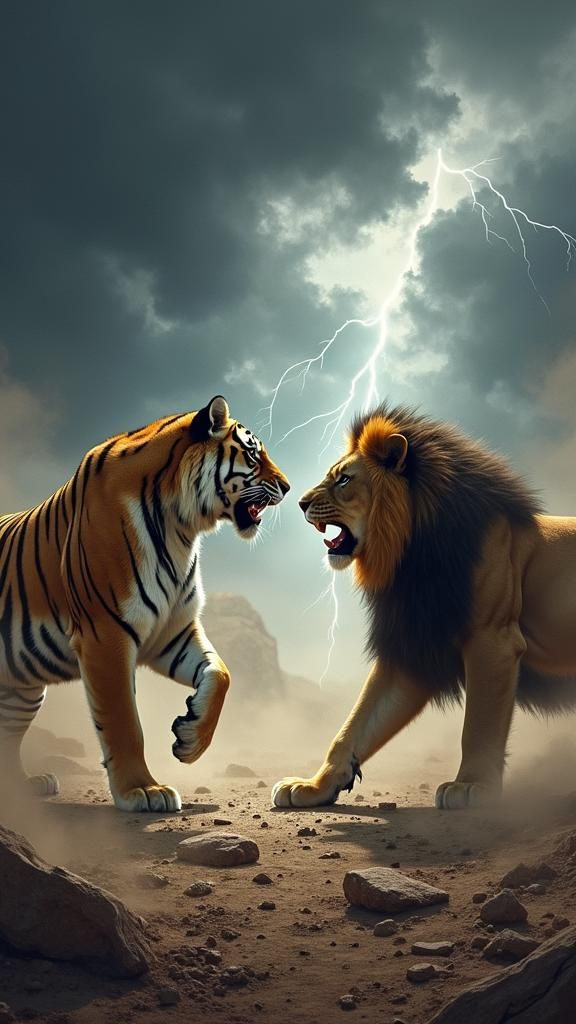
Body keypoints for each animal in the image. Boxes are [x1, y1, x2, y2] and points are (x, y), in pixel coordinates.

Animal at [0, 396, 290, 812]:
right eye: (252, 454)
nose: (288, 486)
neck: (181, 528)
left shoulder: (173, 630)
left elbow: (221, 674)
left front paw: (189, 740)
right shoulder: (105, 634)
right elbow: (124, 721)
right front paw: (143, 790)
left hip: (22, 688)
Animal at [272, 402, 576, 810]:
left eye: (343, 480)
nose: (300, 502)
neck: (412, 555)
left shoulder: (494, 641)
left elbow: (478, 725)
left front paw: (471, 786)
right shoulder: (411, 646)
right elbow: (355, 726)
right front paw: (314, 785)